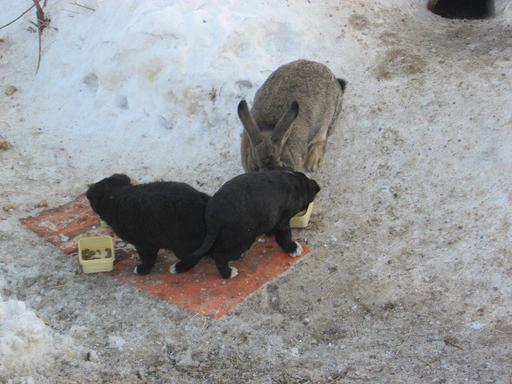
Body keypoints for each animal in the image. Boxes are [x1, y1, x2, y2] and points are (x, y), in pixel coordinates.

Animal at [184, 172, 320, 280]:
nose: (317, 187)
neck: (296, 183)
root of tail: (213, 216)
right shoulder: (283, 222)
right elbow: (285, 237)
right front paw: (293, 248)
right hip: (243, 240)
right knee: (219, 255)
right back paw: (228, 273)